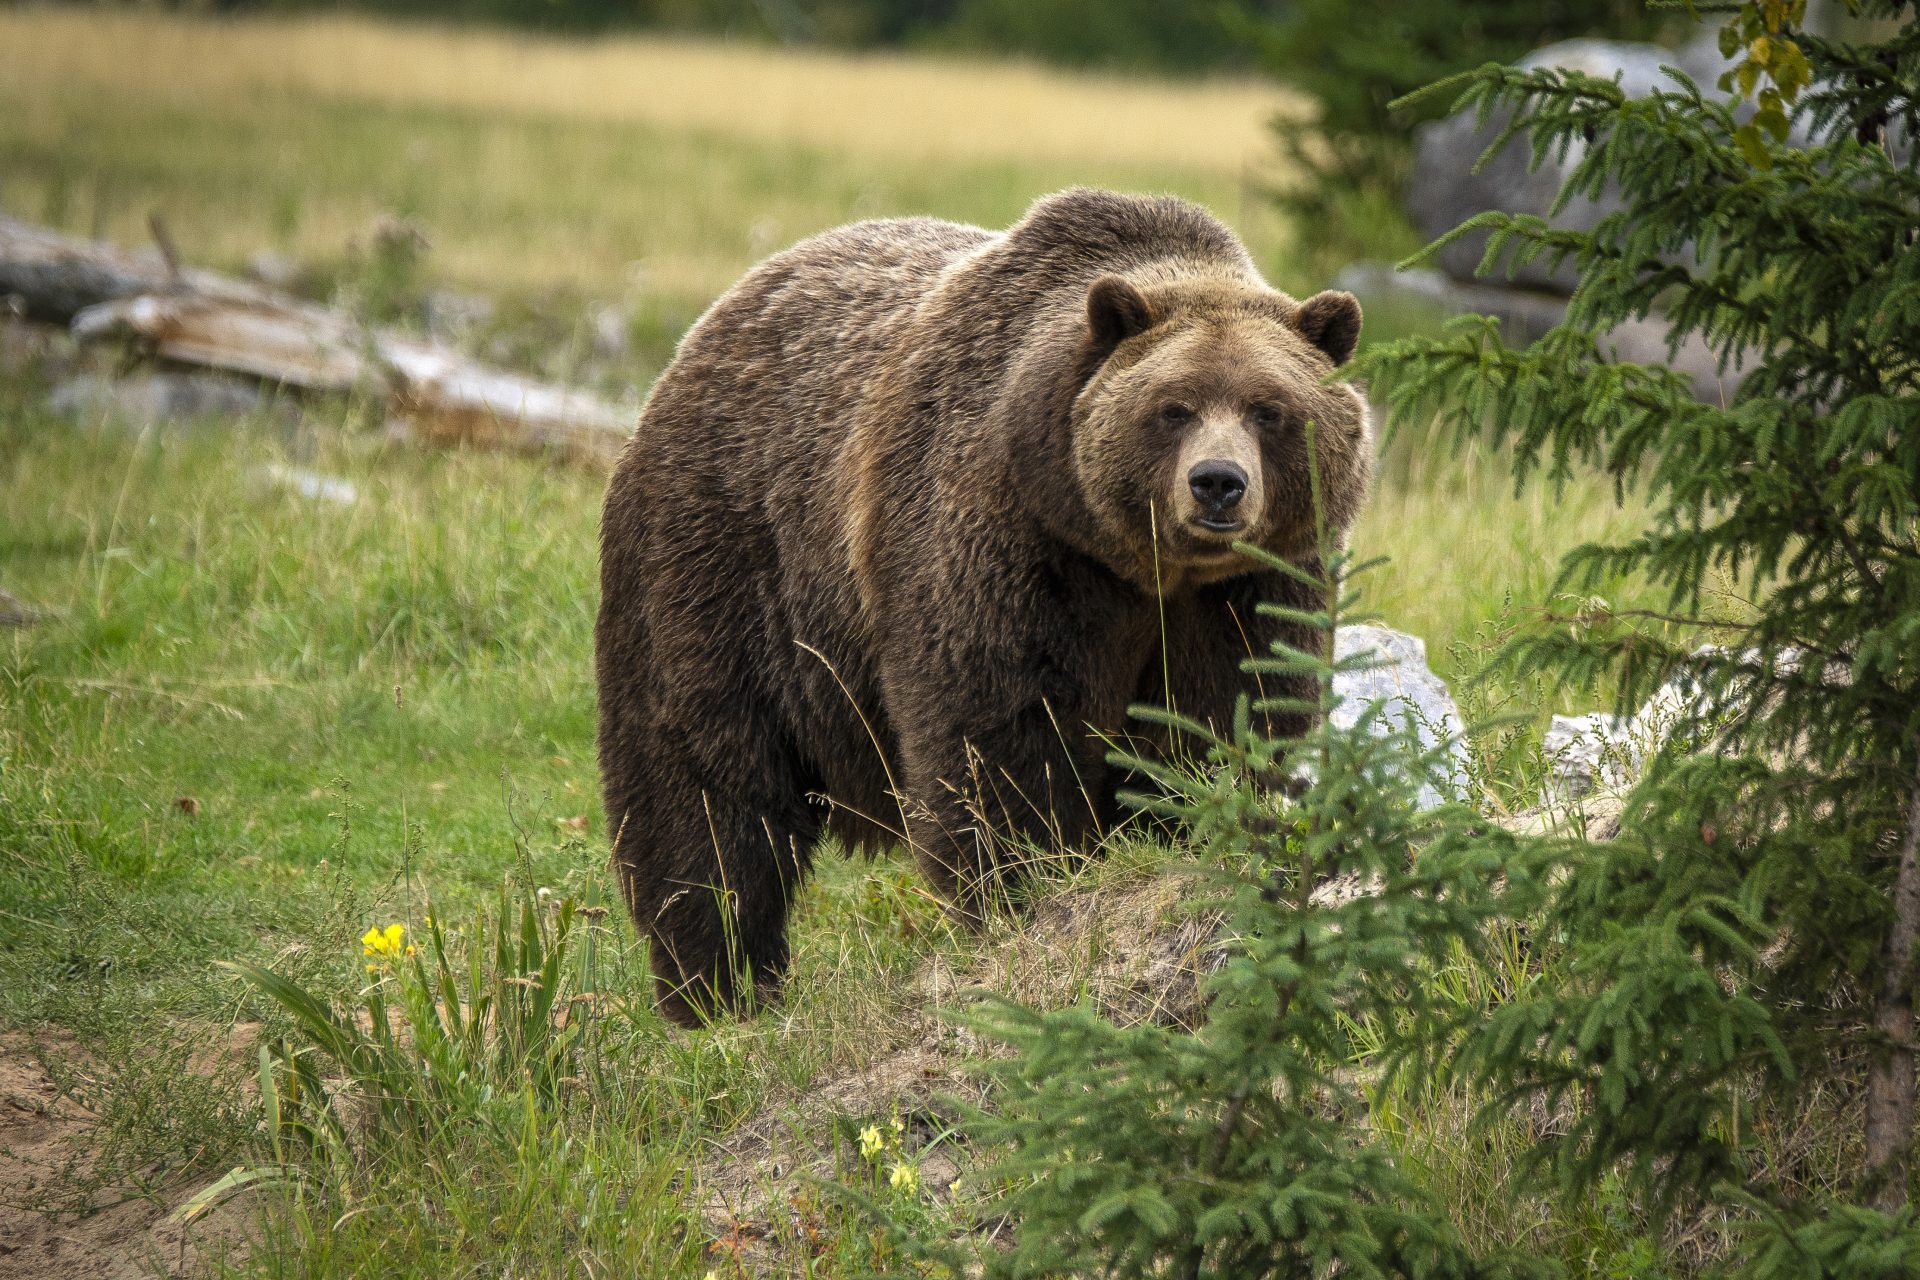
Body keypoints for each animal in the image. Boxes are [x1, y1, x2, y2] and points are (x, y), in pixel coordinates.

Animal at [595, 189, 1367, 1028]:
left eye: (1268, 408)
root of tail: (701, 334)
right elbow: (1000, 734)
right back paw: (718, 987)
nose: (1218, 483)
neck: (1144, 567)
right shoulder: (1009, 541)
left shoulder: (1252, 591)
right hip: (724, 564)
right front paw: (1029, 891)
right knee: (709, 787)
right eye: (1173, 407)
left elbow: (1227, 725)